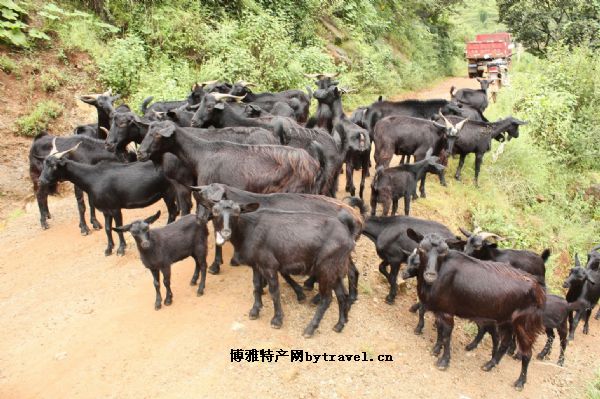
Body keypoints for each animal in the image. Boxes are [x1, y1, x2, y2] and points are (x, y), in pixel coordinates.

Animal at [38, 142, 176, 258]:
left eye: (54, 166)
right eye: (44, 164)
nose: (41, 181)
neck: (93, 178)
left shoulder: (115, 208)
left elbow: (119, 228)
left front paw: (121, 249)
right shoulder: (105, 210)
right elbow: (108, 229)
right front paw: (109, 249)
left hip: (169, 192)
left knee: (172, 212)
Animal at [199, 198, 356, 336]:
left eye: (237, 212)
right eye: (215, 211)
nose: (225, 233)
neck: (249, 230)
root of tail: (349, 237)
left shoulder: (269, 265)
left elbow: (274, 292)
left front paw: (277, 320)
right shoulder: (256, 265)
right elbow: (256, 286)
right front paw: (255, 311)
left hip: (326, 267)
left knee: (327, 299)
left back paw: (310, 329)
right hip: (335, 269)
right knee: (342, 295)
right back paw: (339, 325)